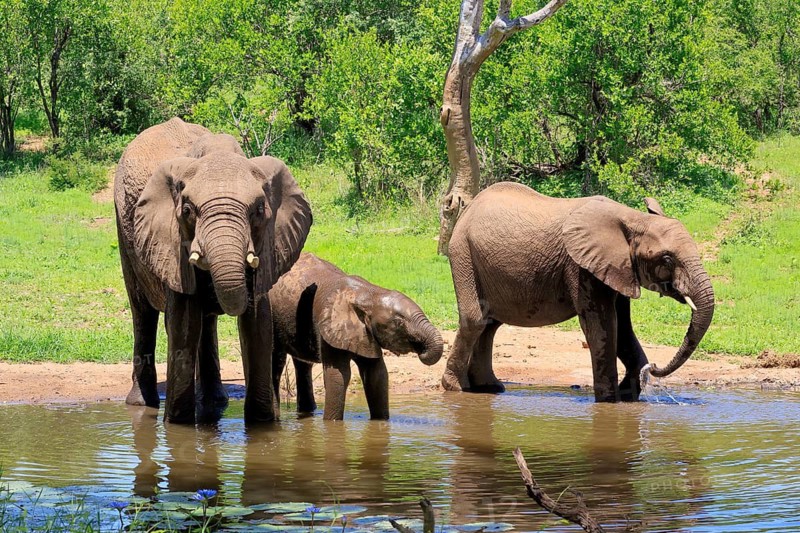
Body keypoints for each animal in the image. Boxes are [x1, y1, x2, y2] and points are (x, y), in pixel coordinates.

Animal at [114, 117, 312, 424]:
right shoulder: (173, 244)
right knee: (142, 312)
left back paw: (215, 402)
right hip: (124, 228)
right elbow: (183, 322)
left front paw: (262, 425)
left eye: (259, 209)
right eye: (187, 210)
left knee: (205, 323)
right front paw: (179, 426)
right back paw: (141, 404)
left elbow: (258, 323)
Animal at [268, 253, 444, 420]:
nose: (421, 349)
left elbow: (376, 374)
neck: (369, 294)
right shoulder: (329, 328)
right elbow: (338, 375)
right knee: (276, 363)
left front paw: (380, 423)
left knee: (303, 364)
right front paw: (331, 424)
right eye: (399, 323)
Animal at [442, 182, 714, 402]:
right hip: (463, 253)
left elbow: (623, 328)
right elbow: (602, 325)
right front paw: (610, 401)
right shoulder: (582, 266)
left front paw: (628, 395)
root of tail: (469, 209)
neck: (632, 218)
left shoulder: (618, 268)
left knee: (490, 325)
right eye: (667, 259)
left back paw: (490, 388)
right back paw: (456, 388)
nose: (653, 367)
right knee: (476, 320)